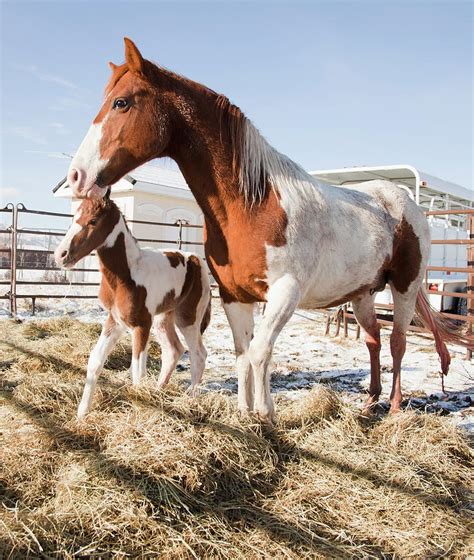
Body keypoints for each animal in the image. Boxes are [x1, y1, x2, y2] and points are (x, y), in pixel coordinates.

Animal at [54, 195, 210, 418]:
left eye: (93, 221)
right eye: (74, 217)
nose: (61, 255)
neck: (126, 274)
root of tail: (197, 259)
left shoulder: (141, 325)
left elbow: (137, 372)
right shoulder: (115, 321)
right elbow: (95, 360)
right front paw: (82, 413)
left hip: (188, 318)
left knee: (198, 355)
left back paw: (190, 400)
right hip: (163, 319)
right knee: (174, 350)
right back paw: (159, 391)